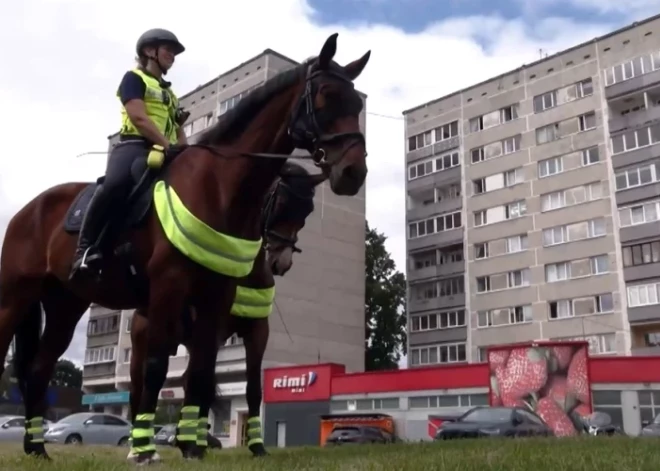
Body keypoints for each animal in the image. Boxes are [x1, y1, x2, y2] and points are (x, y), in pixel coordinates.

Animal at [126, 163, 322, 460]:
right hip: (142, 344)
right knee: (139, 387)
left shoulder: (256, 331)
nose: (282, 262)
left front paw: (257, 447)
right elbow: (203, 382)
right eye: (281, 203)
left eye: (307, 211)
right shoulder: (214, 329)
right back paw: (138, 447)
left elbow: (251, 389)